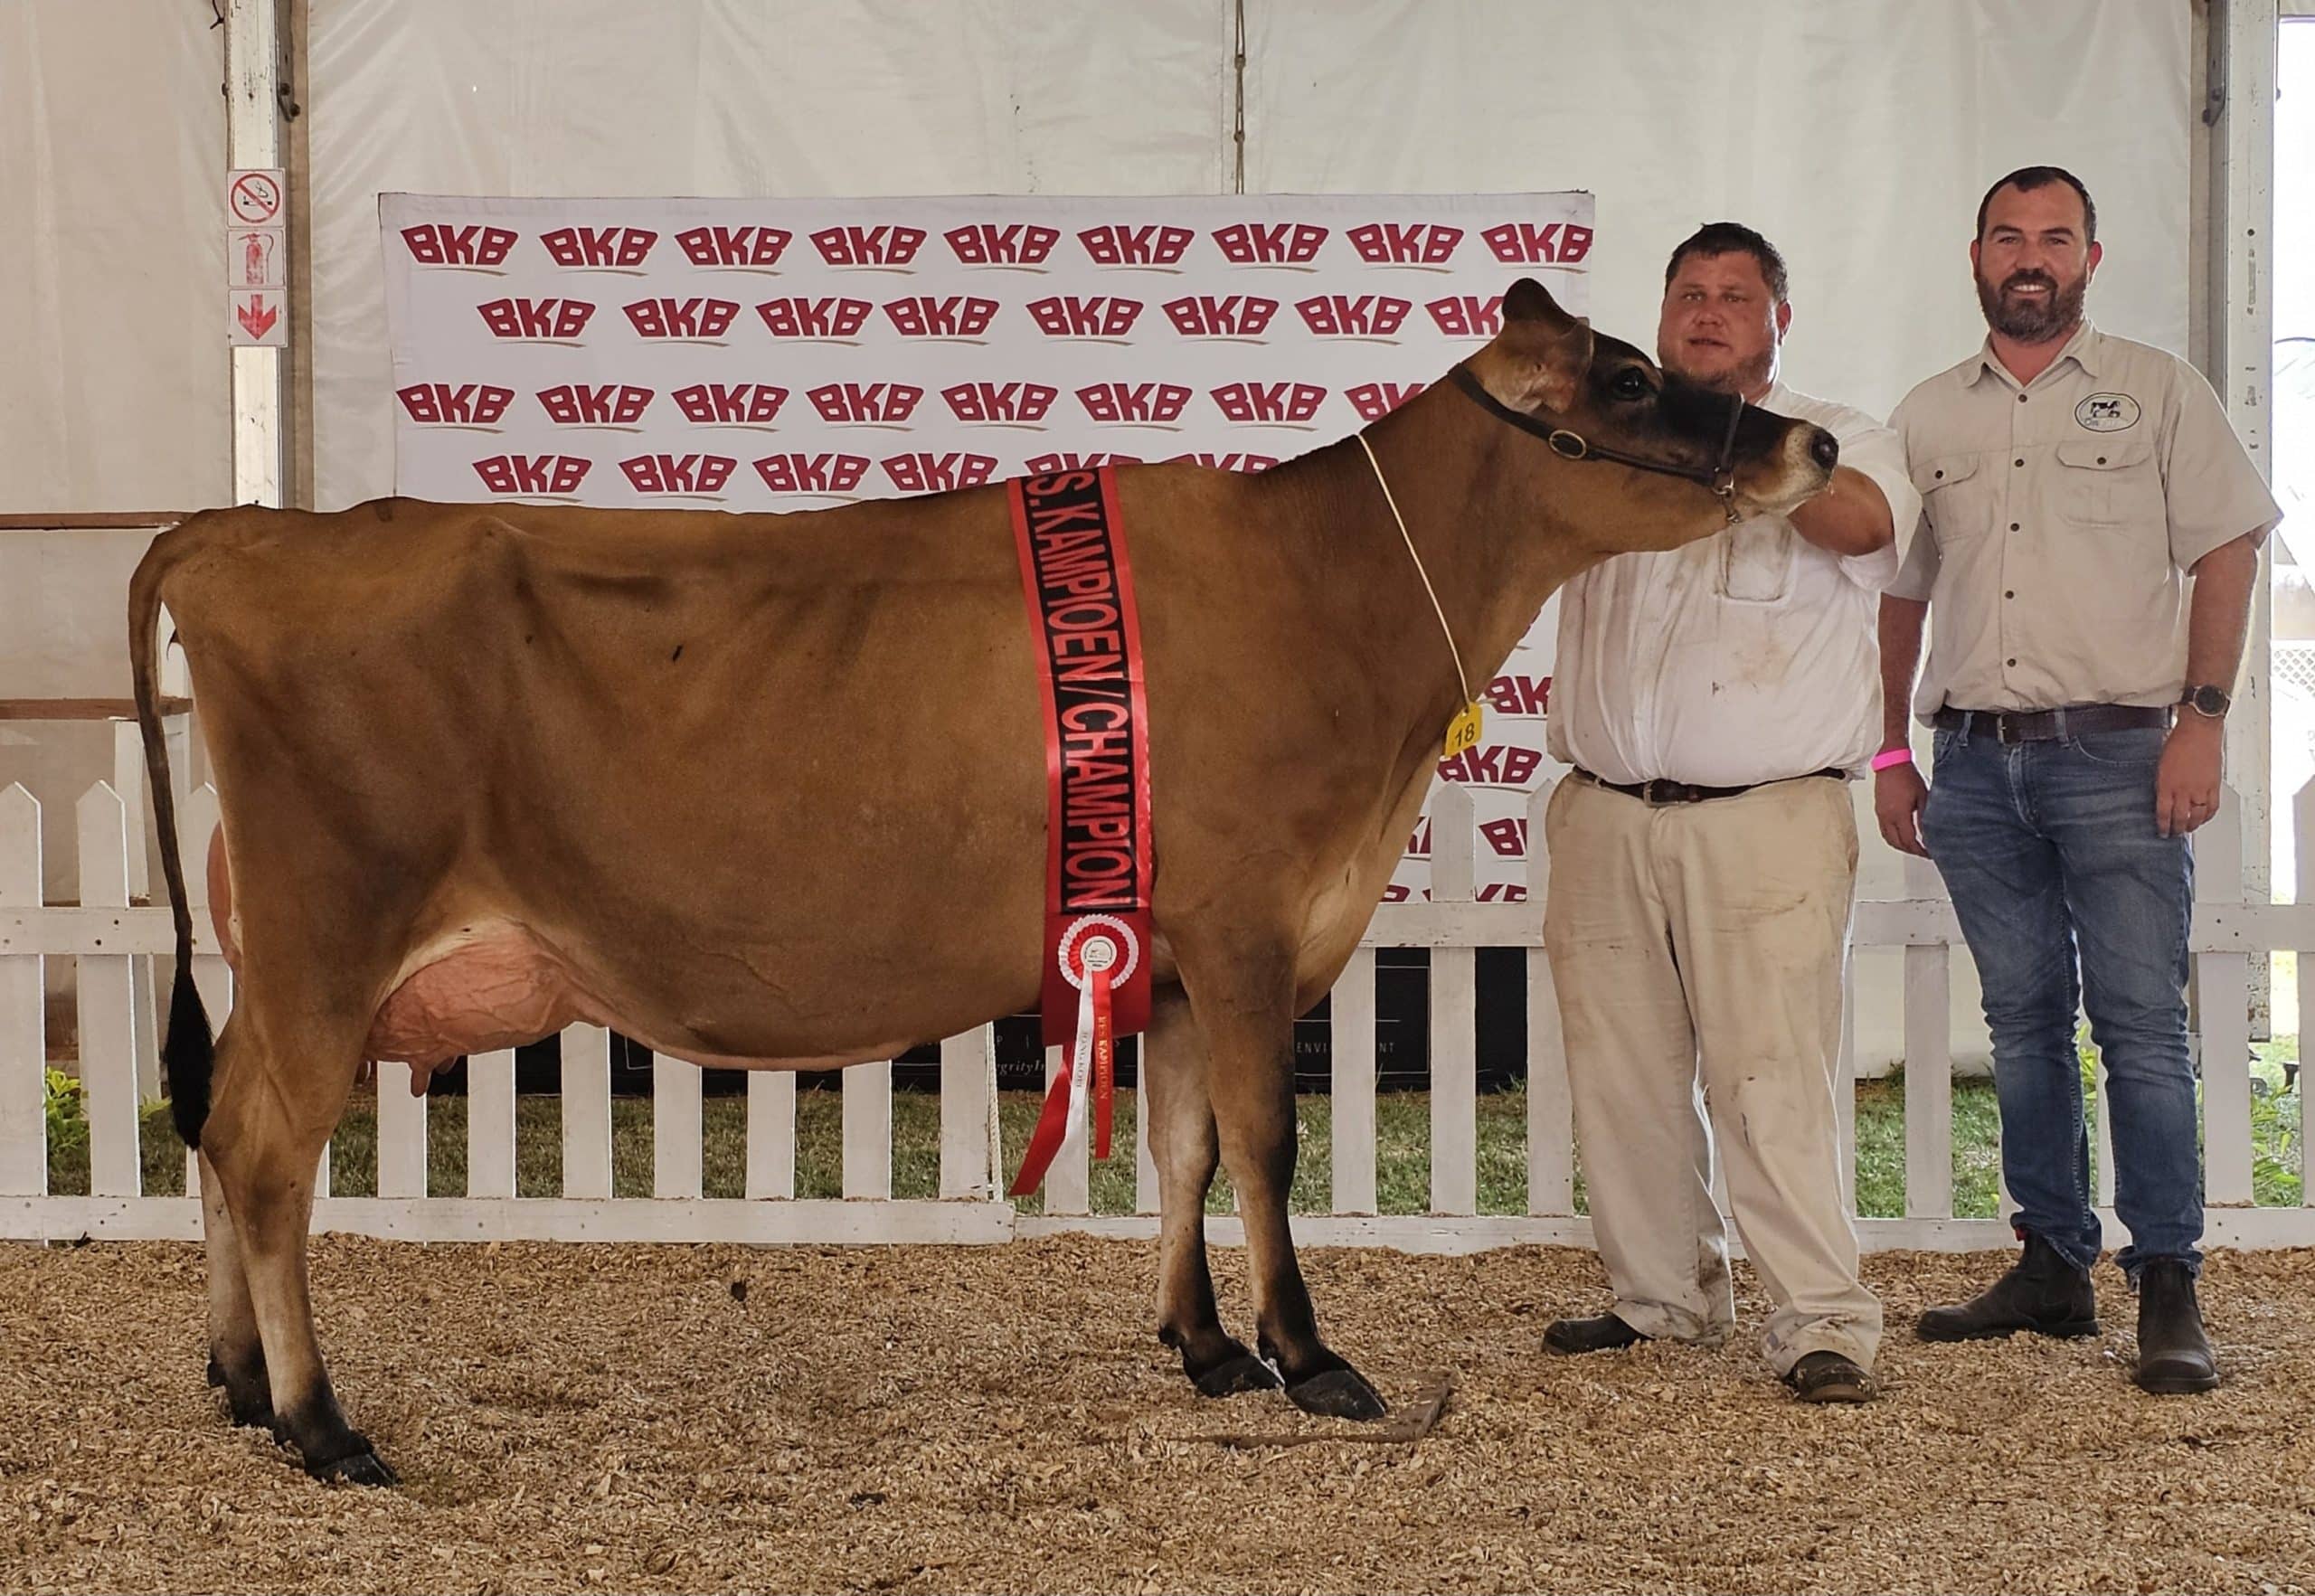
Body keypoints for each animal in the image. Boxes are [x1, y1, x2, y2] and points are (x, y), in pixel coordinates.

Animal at [131, 277, 1824, 1482]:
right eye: (1626, 378)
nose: (1813, 442)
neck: (1331, 595)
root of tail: (243, 532)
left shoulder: (1174, 947)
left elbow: (1186, 1148)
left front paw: (1206, 1348)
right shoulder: (1251, 923)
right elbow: (1268, 1145)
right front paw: (1312, 1360)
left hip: (281, 953)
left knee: (218, 1127)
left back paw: (237, 1384)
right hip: (329, 928)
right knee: (268, 1150)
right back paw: (323, 1426)